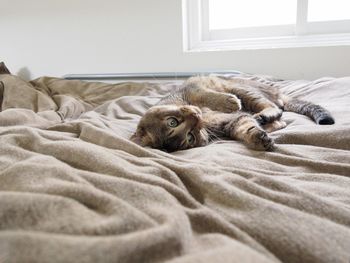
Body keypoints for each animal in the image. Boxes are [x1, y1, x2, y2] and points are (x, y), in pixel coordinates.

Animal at [131, 75, 334, 153]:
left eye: (172, 122)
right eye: (190, 137)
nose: (196, 118)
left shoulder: (193, 89)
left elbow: (208, 96)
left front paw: (229, 102)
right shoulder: (228, 122)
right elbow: (244, 127)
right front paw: (258, 138)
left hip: (243, 89)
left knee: (274, 107)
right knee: (279, 119)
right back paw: (262, 120)